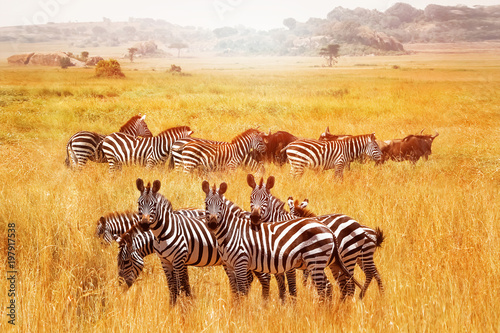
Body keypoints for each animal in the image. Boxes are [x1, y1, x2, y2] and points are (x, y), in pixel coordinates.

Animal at [134, 178, 270, 304]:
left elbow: (180, 285)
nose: (144, 225)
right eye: (139, 203)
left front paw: (182, 307)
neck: (164, 232)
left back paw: (263, 304)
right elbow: (172, 287)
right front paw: (172, 307)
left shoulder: (179, 259)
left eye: (154, 204)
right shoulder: (165, 261)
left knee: (264, 278)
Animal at [203, 179, 364, 300]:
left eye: (266, 199)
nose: (212, 224)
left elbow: (289, 286)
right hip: (333, 263)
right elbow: (277, 286)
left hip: (339, 258)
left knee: (342, 286)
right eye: (206, 204)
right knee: (337, 286)